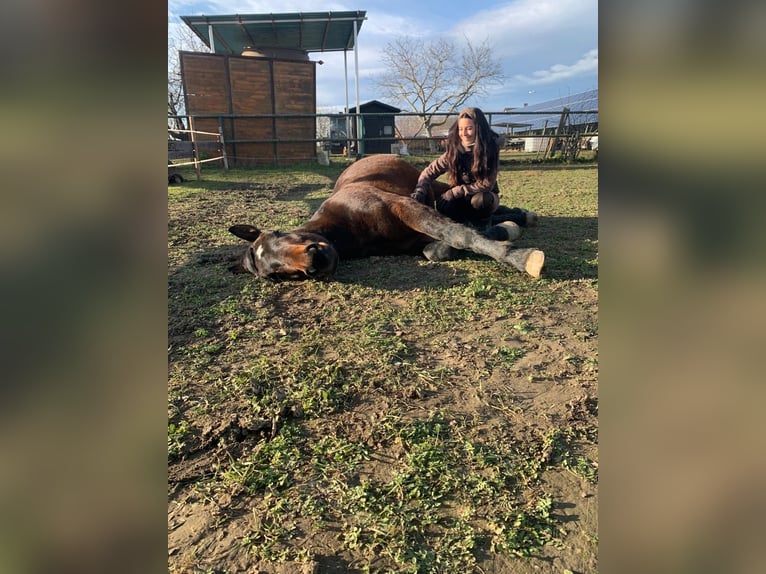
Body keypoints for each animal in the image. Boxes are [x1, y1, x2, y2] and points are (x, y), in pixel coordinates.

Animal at [228, 155, 544, 284]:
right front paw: (504, 234)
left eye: (278, 233)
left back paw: (519, 217)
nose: (314, 261)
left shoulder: (406, 207)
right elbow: (439, 247)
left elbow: (459, 234)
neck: (347, 226)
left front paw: (522, 258)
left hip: (437, 187)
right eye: (275, 275)